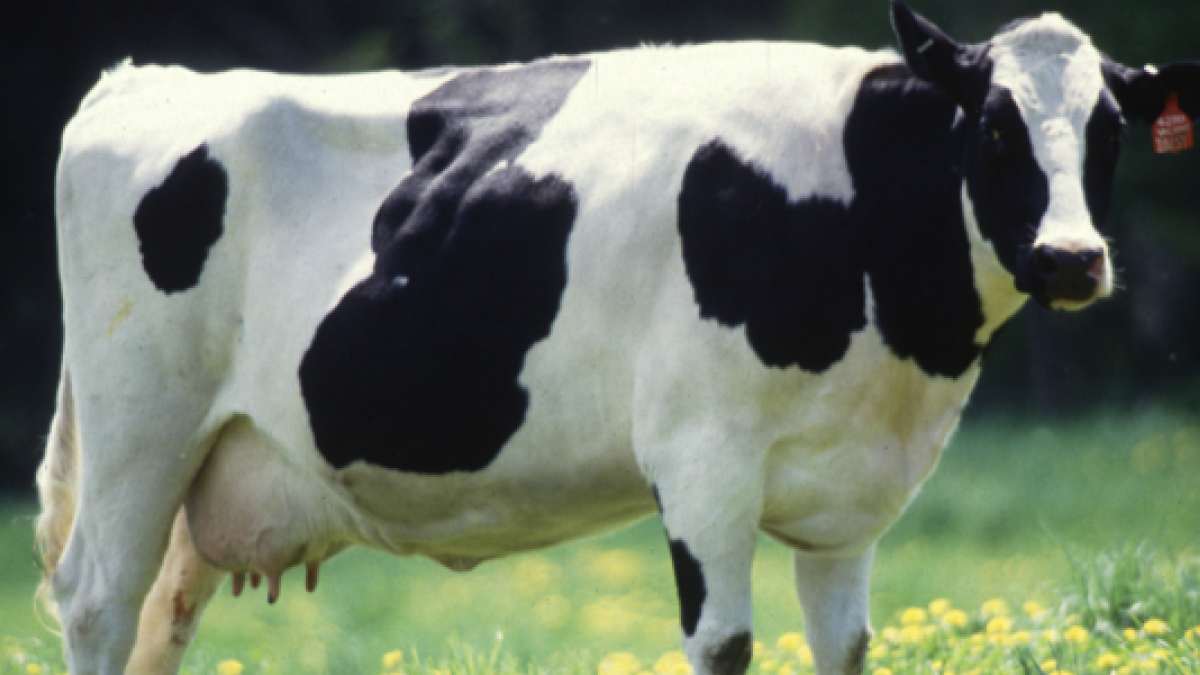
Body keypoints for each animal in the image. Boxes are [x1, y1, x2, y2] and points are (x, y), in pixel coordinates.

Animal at [35, 2, 1200, 674]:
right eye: (995, 127)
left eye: (1108, 131)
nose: (1070, 259)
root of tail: (142, 78)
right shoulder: (702, 460)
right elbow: (725, 645)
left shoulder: (848, 497)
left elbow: (846, 647)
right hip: (140, 431)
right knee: (99, 605)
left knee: (159, 622)